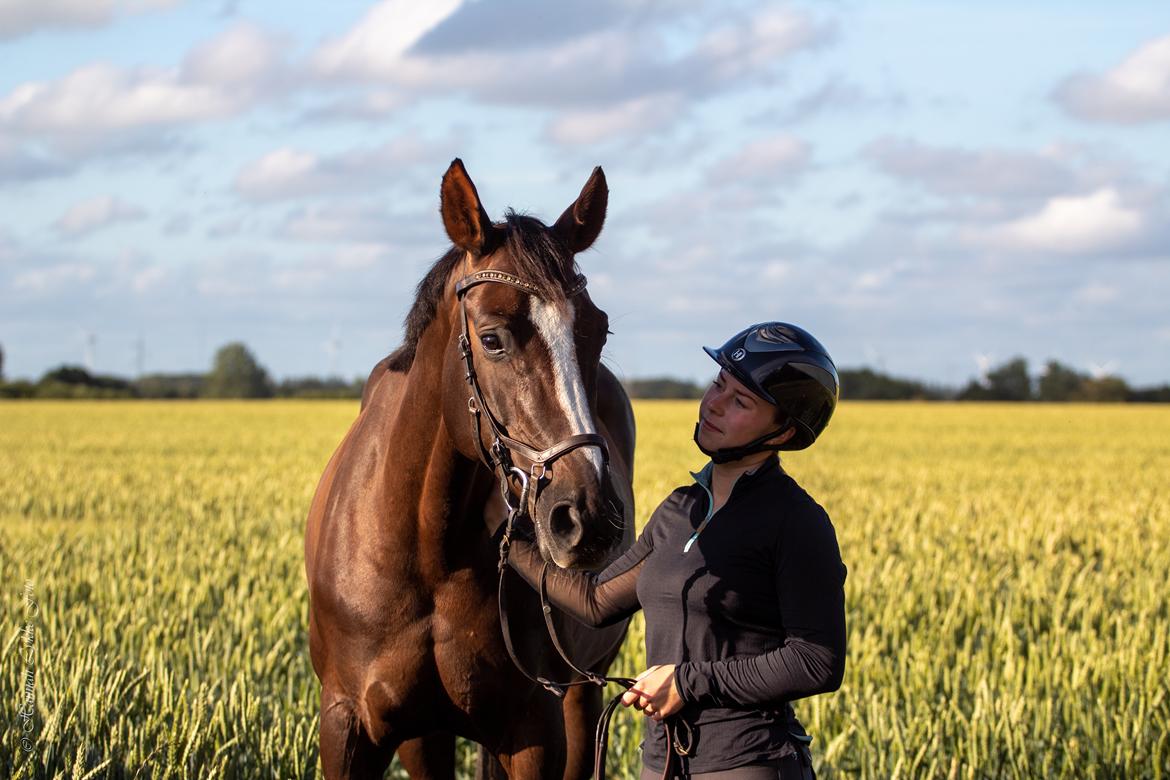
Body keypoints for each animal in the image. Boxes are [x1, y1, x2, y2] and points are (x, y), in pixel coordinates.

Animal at [301, 160, 631, 780]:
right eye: (493, 338)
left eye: (599, 331)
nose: (588, 517)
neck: (427, 551)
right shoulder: (352, 724)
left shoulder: (534, 728)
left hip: (583, 691)